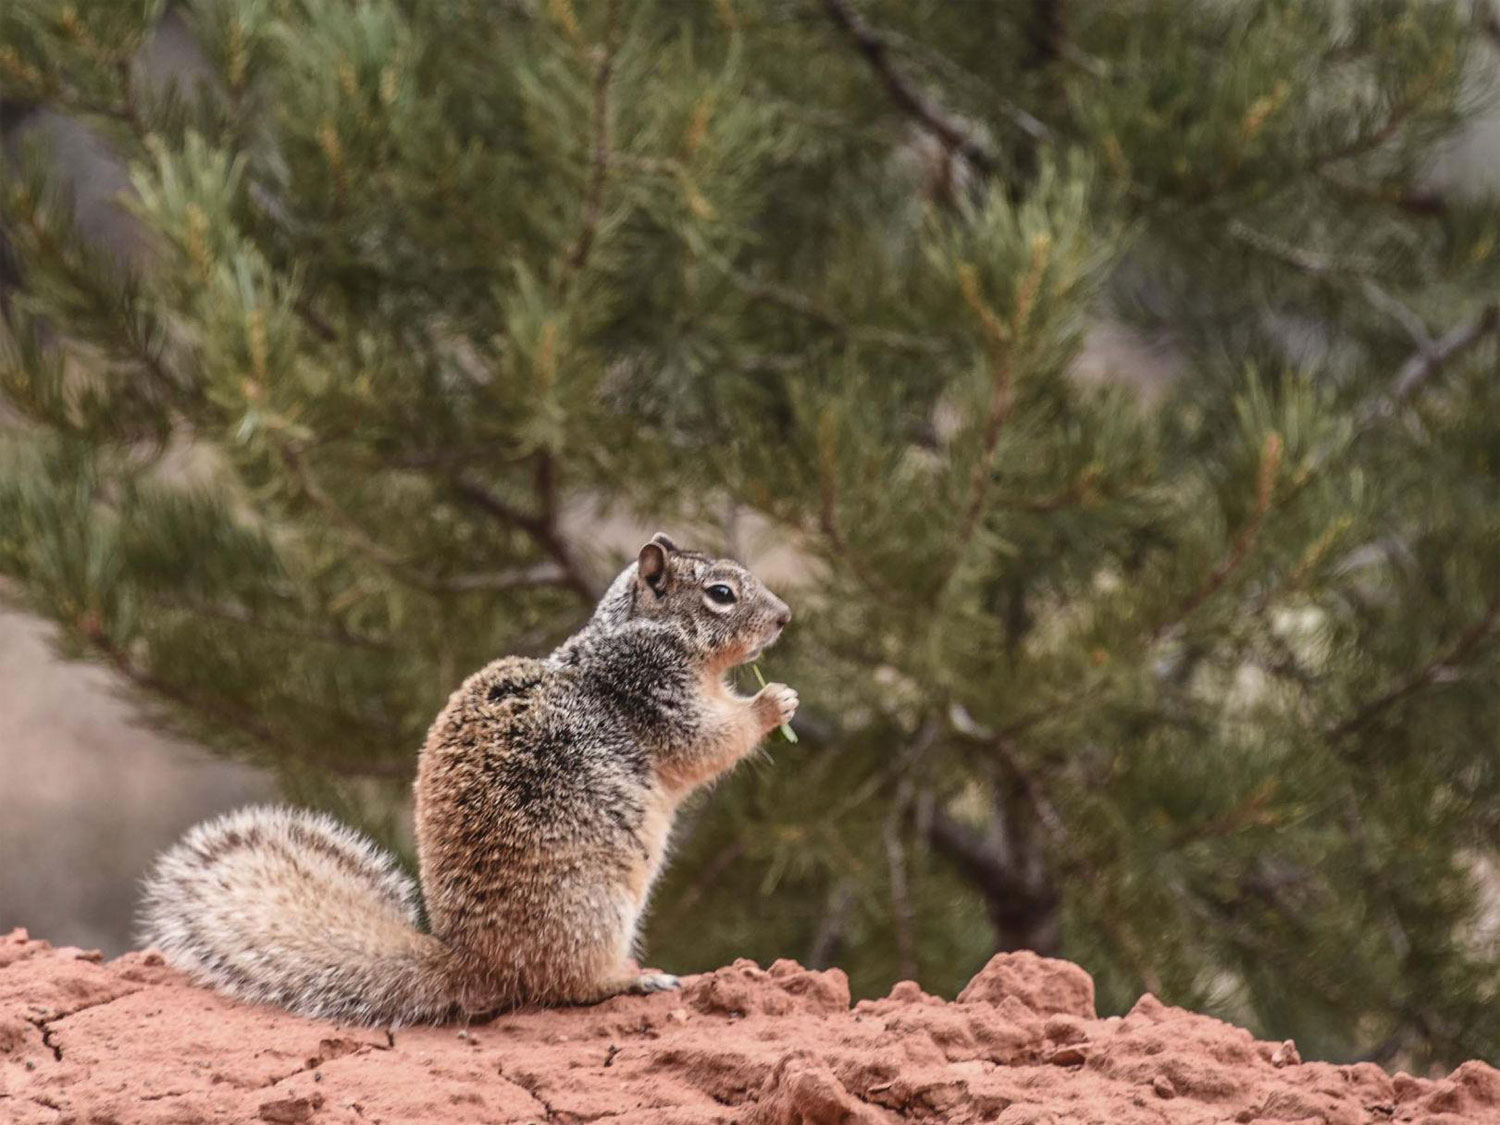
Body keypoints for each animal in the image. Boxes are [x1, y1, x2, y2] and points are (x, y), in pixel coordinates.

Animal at [139, 537, 798, 1032]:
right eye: (721, 593)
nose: (786, 618)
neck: (644, 631)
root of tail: (478, 964)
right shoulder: (655, 688)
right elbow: (707, 742)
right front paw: (774, 702)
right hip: (597, 909)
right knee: (570, 985)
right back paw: (635, 978)